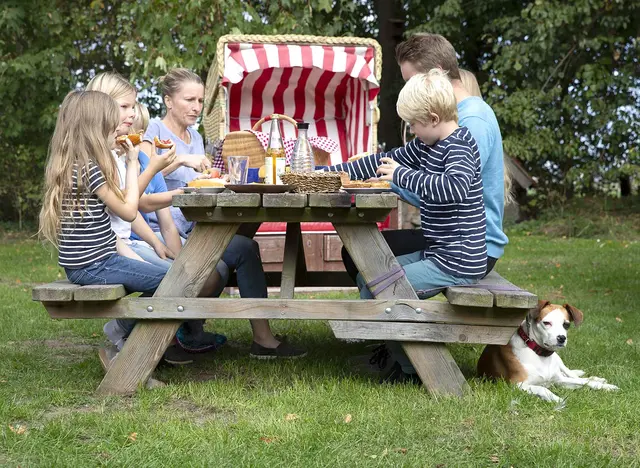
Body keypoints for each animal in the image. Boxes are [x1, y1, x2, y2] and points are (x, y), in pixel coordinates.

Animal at [478, 302, 616, 404]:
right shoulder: (516, 384)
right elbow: (542, 388)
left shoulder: (559, 380)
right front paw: (558, 399)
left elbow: (584, 382)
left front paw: (605, 386)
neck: (538, 353)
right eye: (546, 323)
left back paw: (597, 379)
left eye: (566, 324)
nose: (561, 338)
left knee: (572, 374)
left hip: (559, 361)